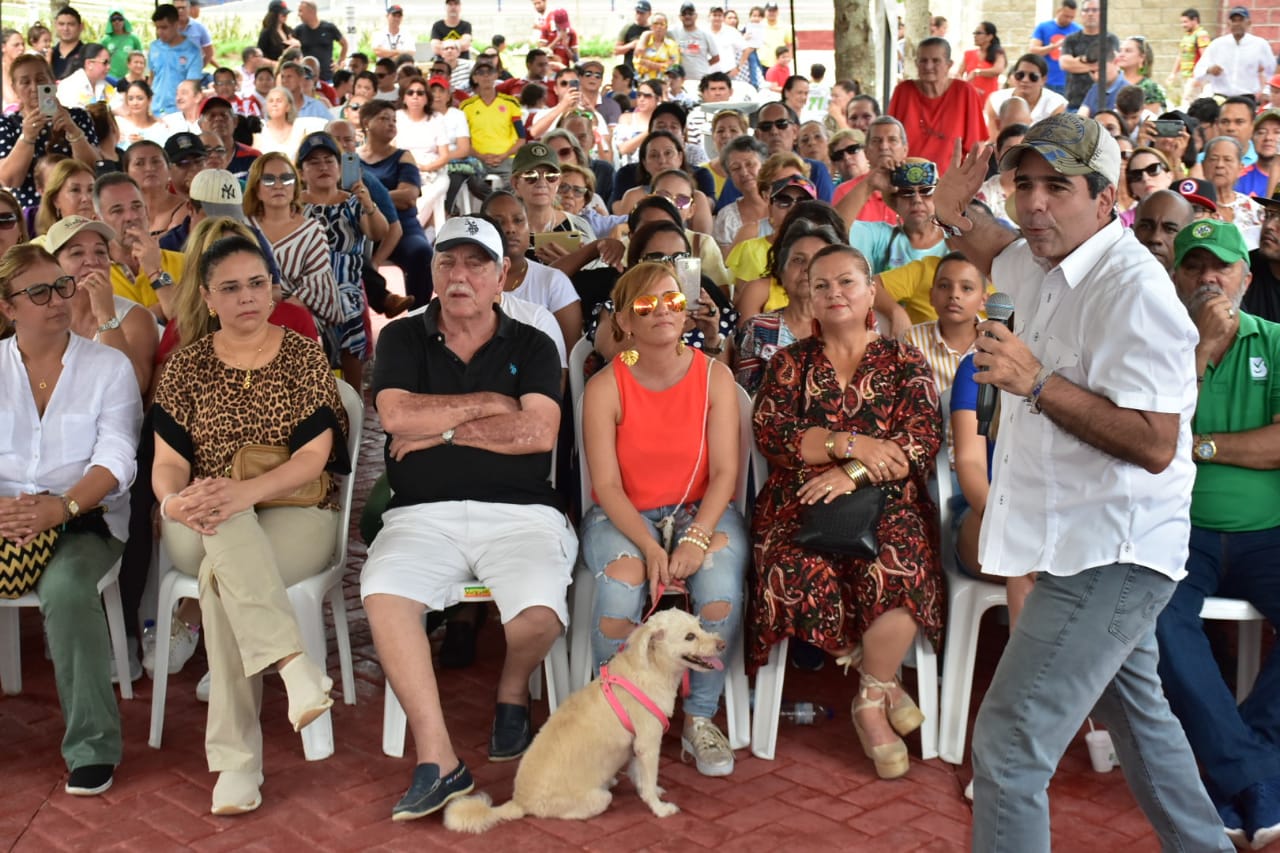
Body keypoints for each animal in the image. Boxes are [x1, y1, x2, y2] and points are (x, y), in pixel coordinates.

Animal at [442, 604, 721, 829]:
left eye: (700, 625)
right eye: (689, 637)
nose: (722, 644)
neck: (650, 669)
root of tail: (518, 802)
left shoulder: (637, 747)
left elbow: (640, 776)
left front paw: (649, 788)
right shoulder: (648, 744)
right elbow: (648, 782)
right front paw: (659, 808)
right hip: (597, 799)